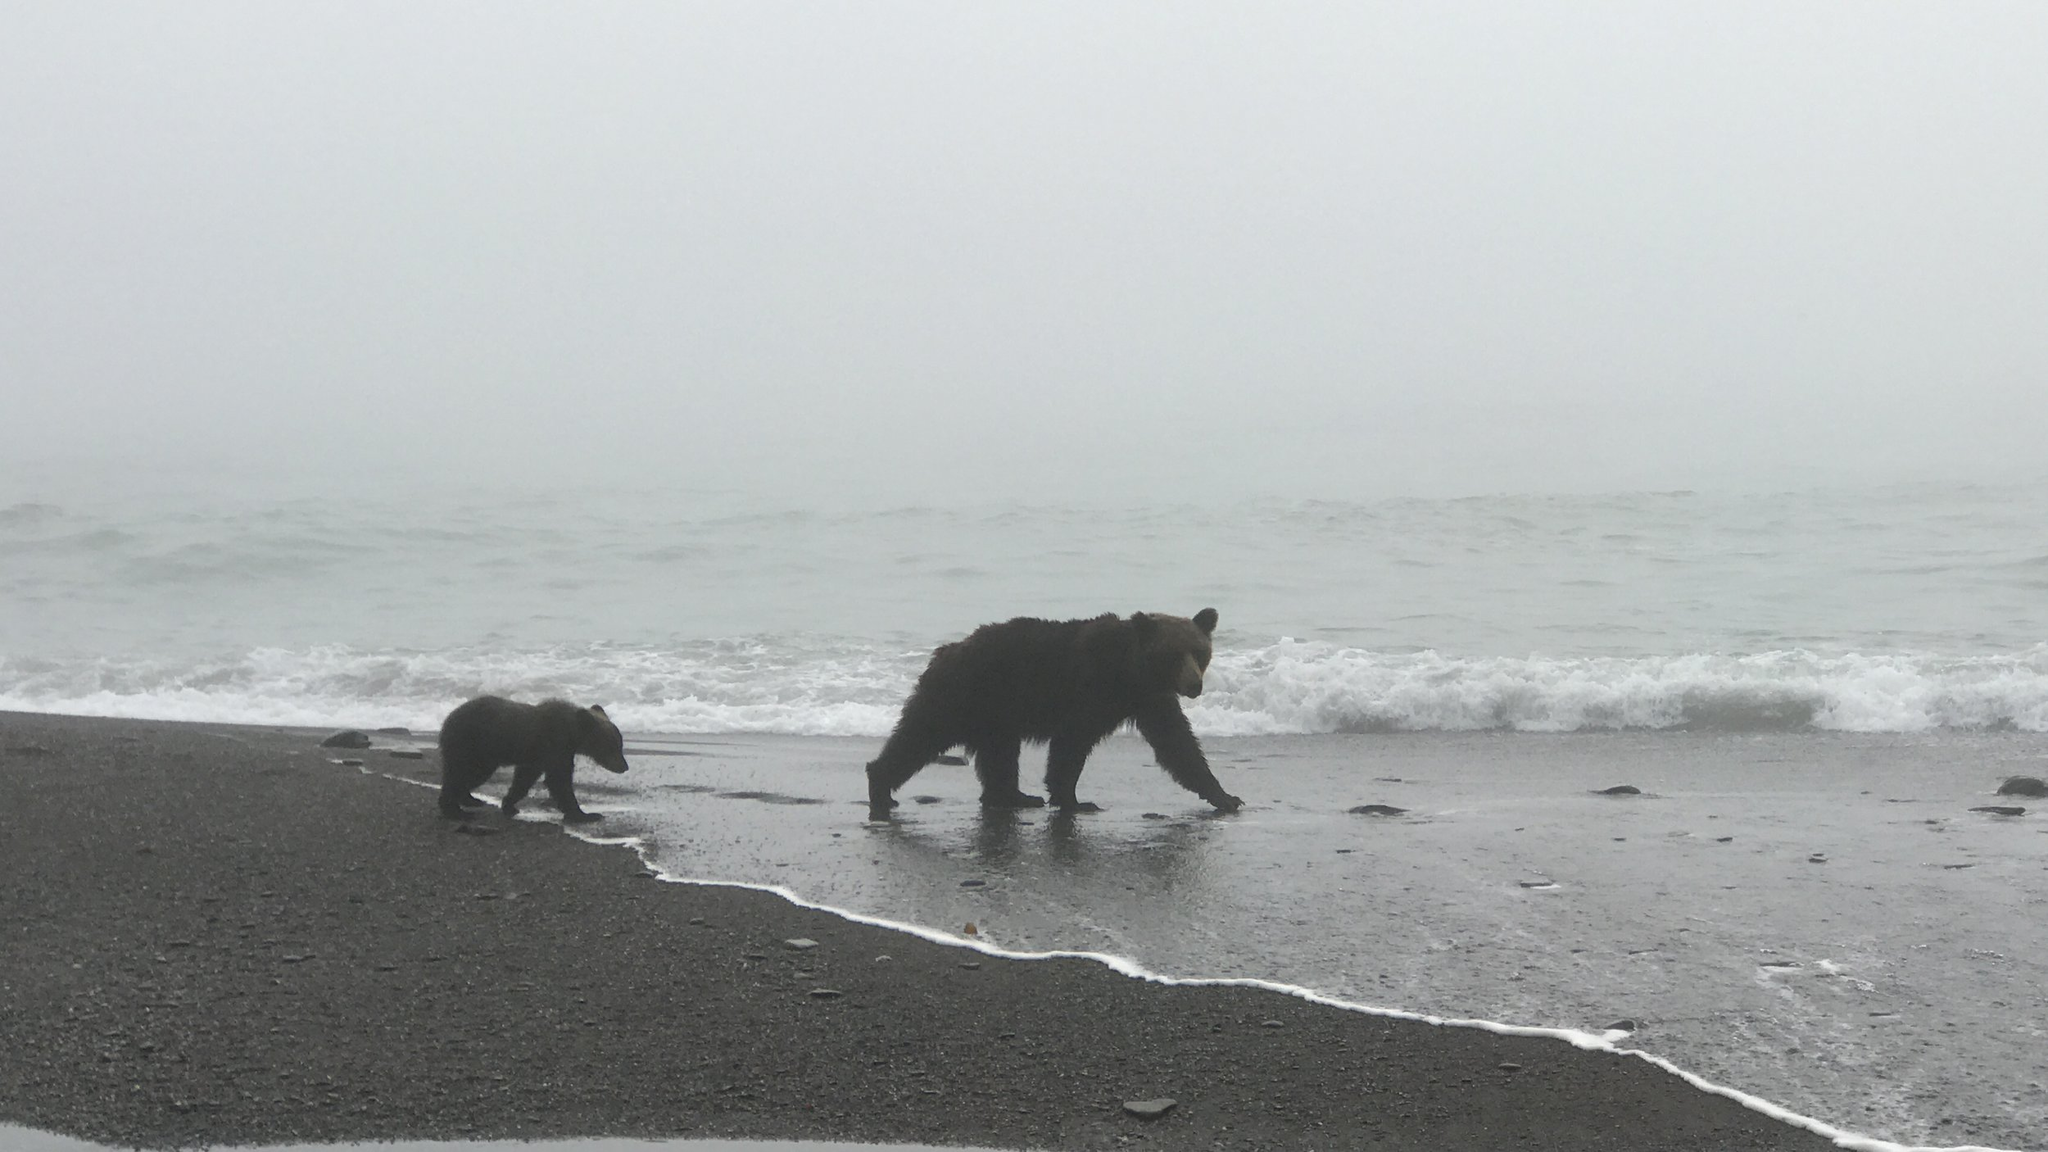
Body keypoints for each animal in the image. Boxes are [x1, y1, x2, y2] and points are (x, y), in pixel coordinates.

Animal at [860, 610, 1236, 815]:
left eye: (1199, 652)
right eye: (1173, 654)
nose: (1194, 685)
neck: (1128, 672)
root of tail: (944, 651)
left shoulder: (1150, 701)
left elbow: (1178, 746)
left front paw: (1225, 796)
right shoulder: (1089, 689)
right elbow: (1071, 744)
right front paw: (1075, 800)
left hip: (997, 716)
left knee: (999, 755)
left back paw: (1014, 796)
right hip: (963, 696)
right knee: (919, 735)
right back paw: (881, 787)